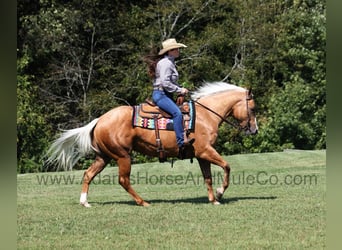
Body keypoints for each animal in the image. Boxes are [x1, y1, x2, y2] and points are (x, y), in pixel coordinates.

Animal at [46, 81, 258, 206]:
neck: (205, 116)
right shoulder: (206, 151)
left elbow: (208, 178)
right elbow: (227, 167)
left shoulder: (201, 155)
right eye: (253, 108)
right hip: (123, 156)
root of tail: (99, 120)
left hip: (104, 157)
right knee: (123, 180)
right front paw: (220, 194)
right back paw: (143, 202)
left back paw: (85, 202)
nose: (255, 130)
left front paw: (214, 200)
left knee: (88, 174)